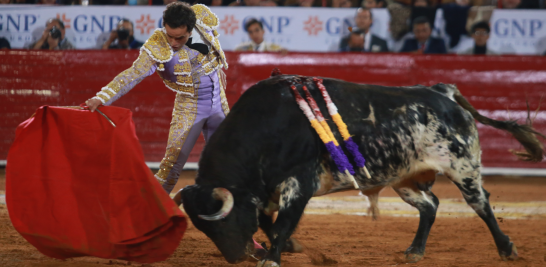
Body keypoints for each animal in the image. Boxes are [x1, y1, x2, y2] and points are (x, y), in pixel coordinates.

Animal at [172, 75, 540, 267]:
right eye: (205, 230)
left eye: (224, 222)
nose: (236, 257)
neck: (266, 127)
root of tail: (442, 92)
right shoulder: (266, 191)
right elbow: (268, 222)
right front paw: (291, 247)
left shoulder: (298, 184)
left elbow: (279, 225)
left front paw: (273, 257)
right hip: (403, 178)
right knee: (430, 205)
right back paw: (415, 252)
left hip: (462, 166)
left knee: (480, 204)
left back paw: (506, 249)